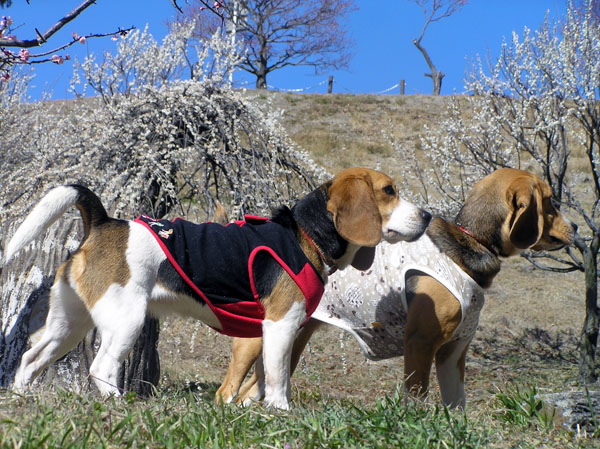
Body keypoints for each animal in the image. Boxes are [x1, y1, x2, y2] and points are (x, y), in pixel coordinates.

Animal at [4, 167, 431, 410]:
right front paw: (281, 412)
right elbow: (278, 377)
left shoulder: (263, 334)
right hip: (127, 319)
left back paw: (22, 398)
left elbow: (260, 377)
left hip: (69, 323)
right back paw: (120, 404)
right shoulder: (280, 325)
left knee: (30, 358)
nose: (428, 215)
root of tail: (104, 221)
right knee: (101, 367)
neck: (305, 234)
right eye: (389, 191)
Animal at [218, 168, 577, 408]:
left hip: (290, 342)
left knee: (252, 391)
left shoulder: (454, 351)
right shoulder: (420, 342)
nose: (575, 226)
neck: (467, 244)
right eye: (550, 202)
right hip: (259, 340)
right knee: (228, 391)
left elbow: (456, 403)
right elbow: (416, 396)